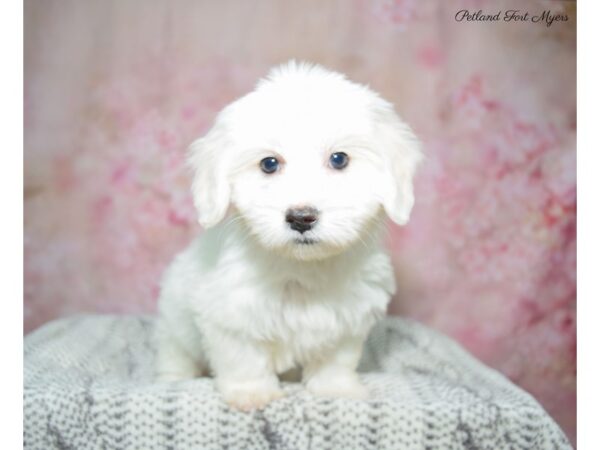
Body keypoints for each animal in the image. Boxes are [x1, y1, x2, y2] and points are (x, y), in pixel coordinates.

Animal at [157, 61, 424, 410]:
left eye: (339, 159)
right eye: (269, 163)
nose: (301, 218)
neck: (301, 266)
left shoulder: (348, 320)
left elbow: (336, 359)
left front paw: (338, 389)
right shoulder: (230, 316)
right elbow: (243, 358)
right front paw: (252, 394)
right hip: (174, 322)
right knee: (174, 353)